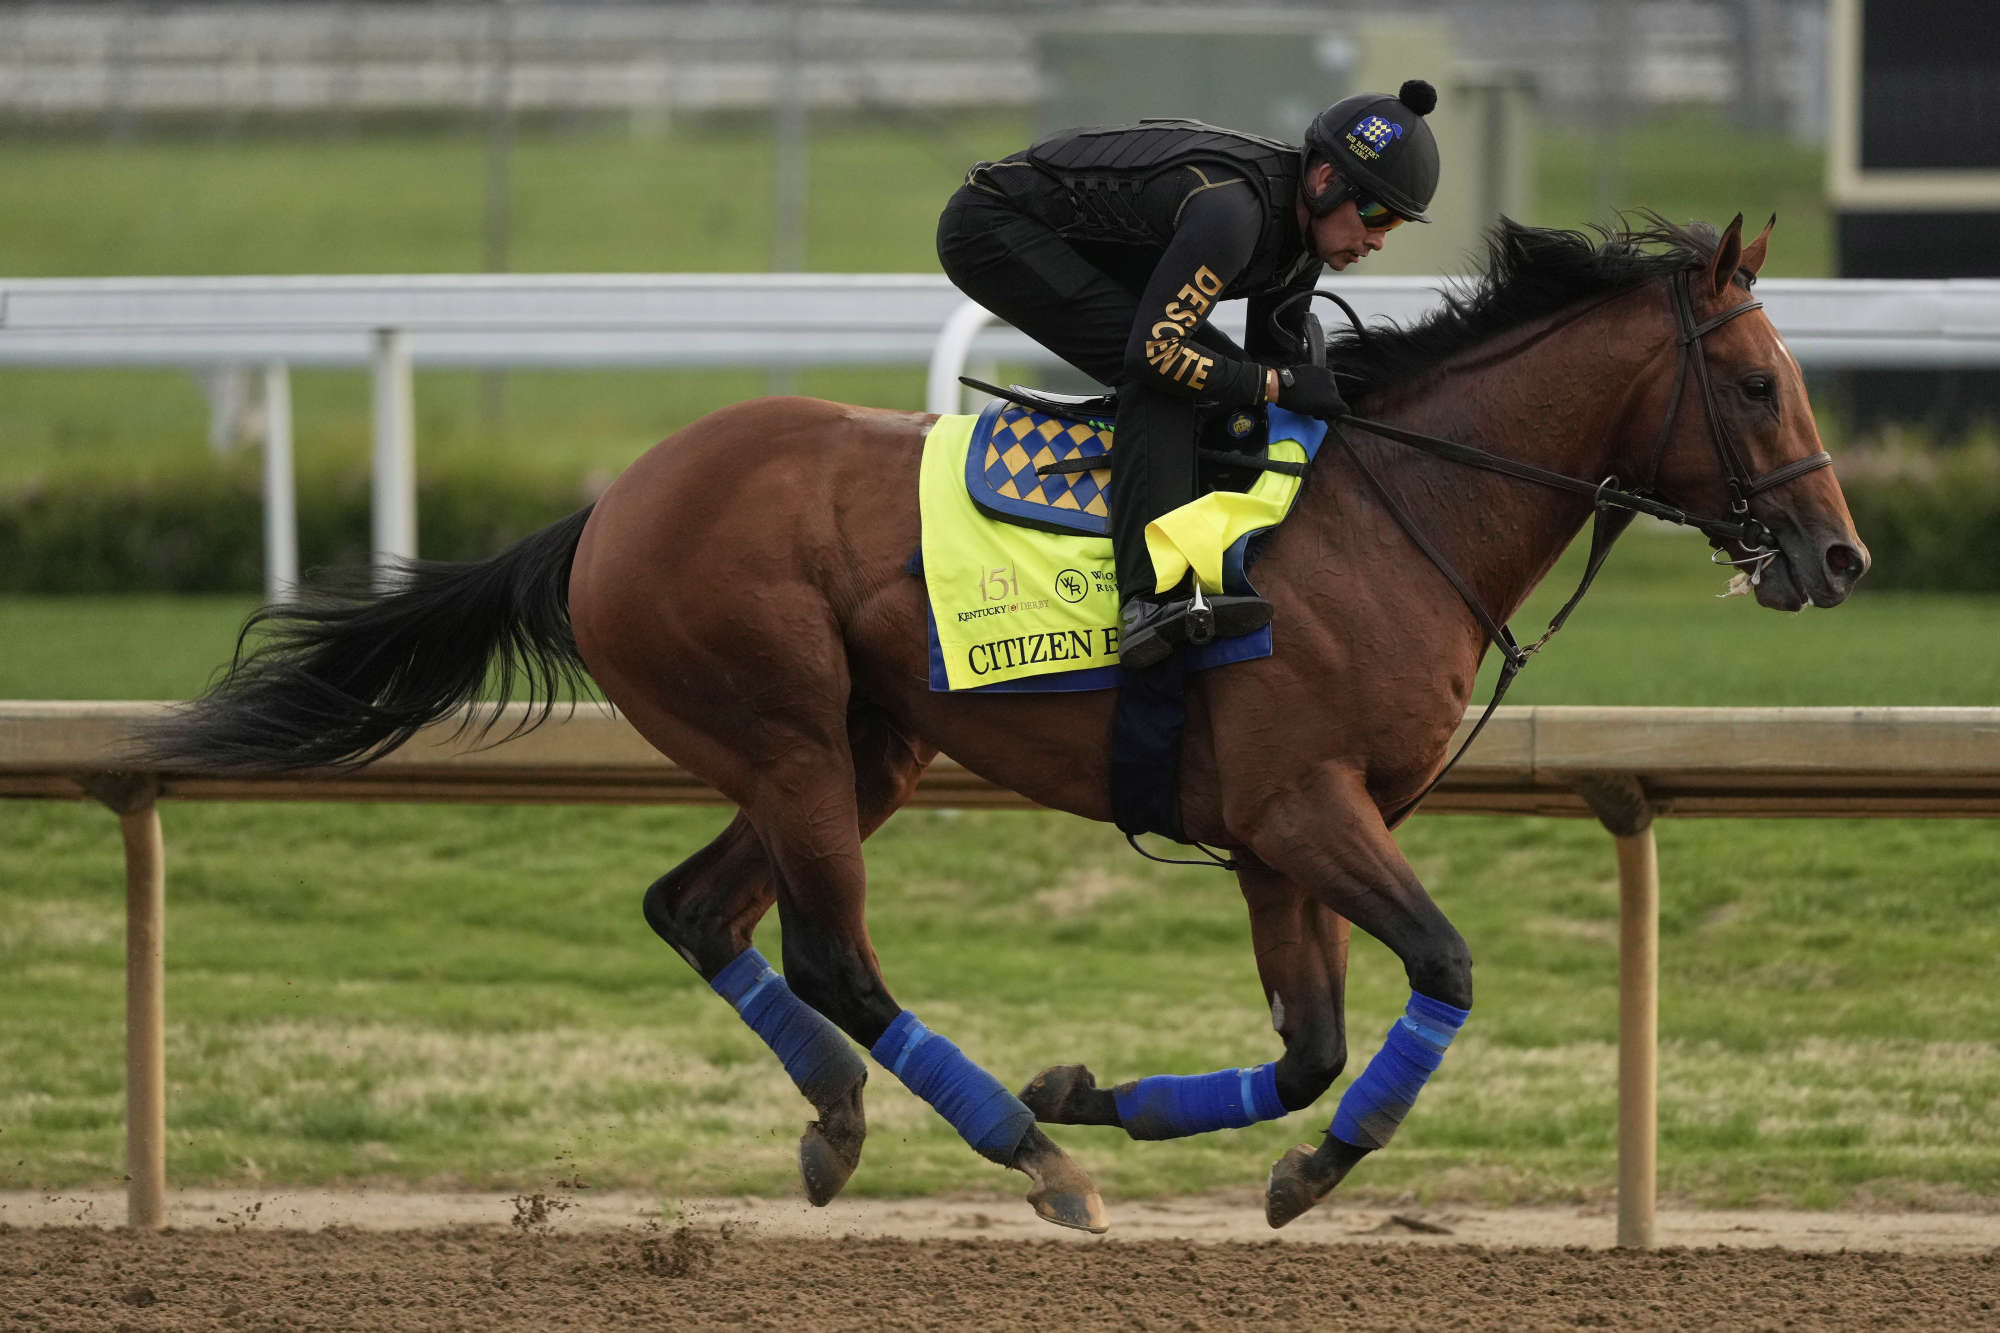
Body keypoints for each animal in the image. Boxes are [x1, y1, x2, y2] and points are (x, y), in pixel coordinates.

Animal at [138, 214, 1868, 1234]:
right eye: (1759, 384)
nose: (1837, 555)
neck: (1398, 512)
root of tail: (607, 507)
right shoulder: (1305, 808)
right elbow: (1438, 970)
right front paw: (1280, 1166)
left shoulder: (1277, 842)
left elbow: (1307, 1046)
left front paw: (1111, 1096)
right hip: (787, 734)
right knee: (830, 955)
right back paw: (1023, 1160)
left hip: (864, 747)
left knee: (695, 910)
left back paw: (850, 1122)